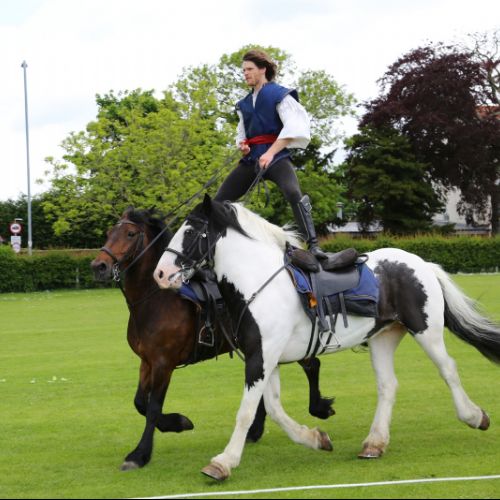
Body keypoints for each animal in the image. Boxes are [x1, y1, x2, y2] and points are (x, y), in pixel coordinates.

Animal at [91, 207, 334, 470]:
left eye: (130, 233)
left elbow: (153, 408)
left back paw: (318, 408)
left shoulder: (164, 363)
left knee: (311, 364)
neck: (156, 300)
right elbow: (140, 403)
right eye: (109, 233)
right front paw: (177, 422)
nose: (99, 266)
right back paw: (255, 430)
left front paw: (141, 453)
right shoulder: (147, 361)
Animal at [153, 194, 500, 482]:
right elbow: (274, 409)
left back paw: (474, 416)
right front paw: (315, 438)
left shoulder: (261, 359)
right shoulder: (265, 358)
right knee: (388, 386)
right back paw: (374, 444)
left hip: (426, 331)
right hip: (383, 337)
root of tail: (420, 263)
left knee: (448, 370)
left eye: (191, 232)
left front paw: (223, 462)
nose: (160, 274)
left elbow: (247, 412)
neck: (258, 283)